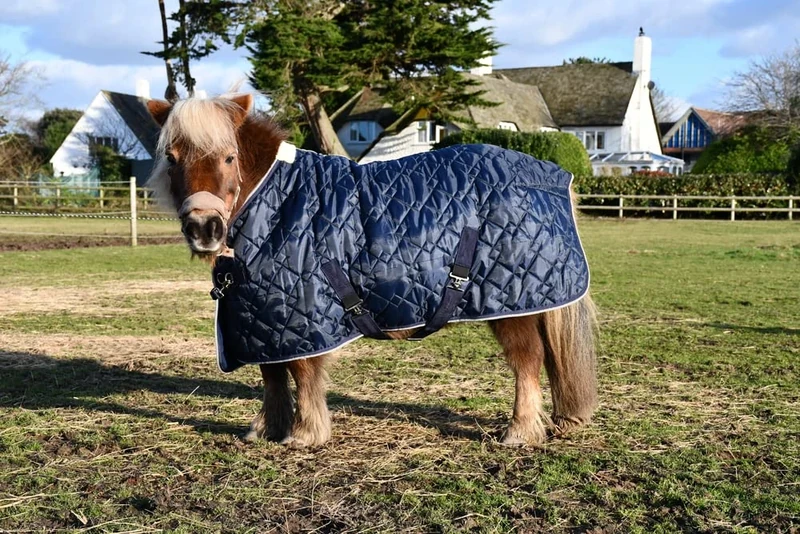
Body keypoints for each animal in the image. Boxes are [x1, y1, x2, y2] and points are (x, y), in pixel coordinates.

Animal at [145, 93, 597, 448]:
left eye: (229, 157)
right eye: (172, 158)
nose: (205, 228)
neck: (275, 200)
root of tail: (551, 175)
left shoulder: (303, 314)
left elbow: (303, 372)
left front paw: (306, 435)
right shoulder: (263, 319)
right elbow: (271, 375)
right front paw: (267, 429)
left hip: (509, 306)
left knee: (528, 361)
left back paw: (520, 432)